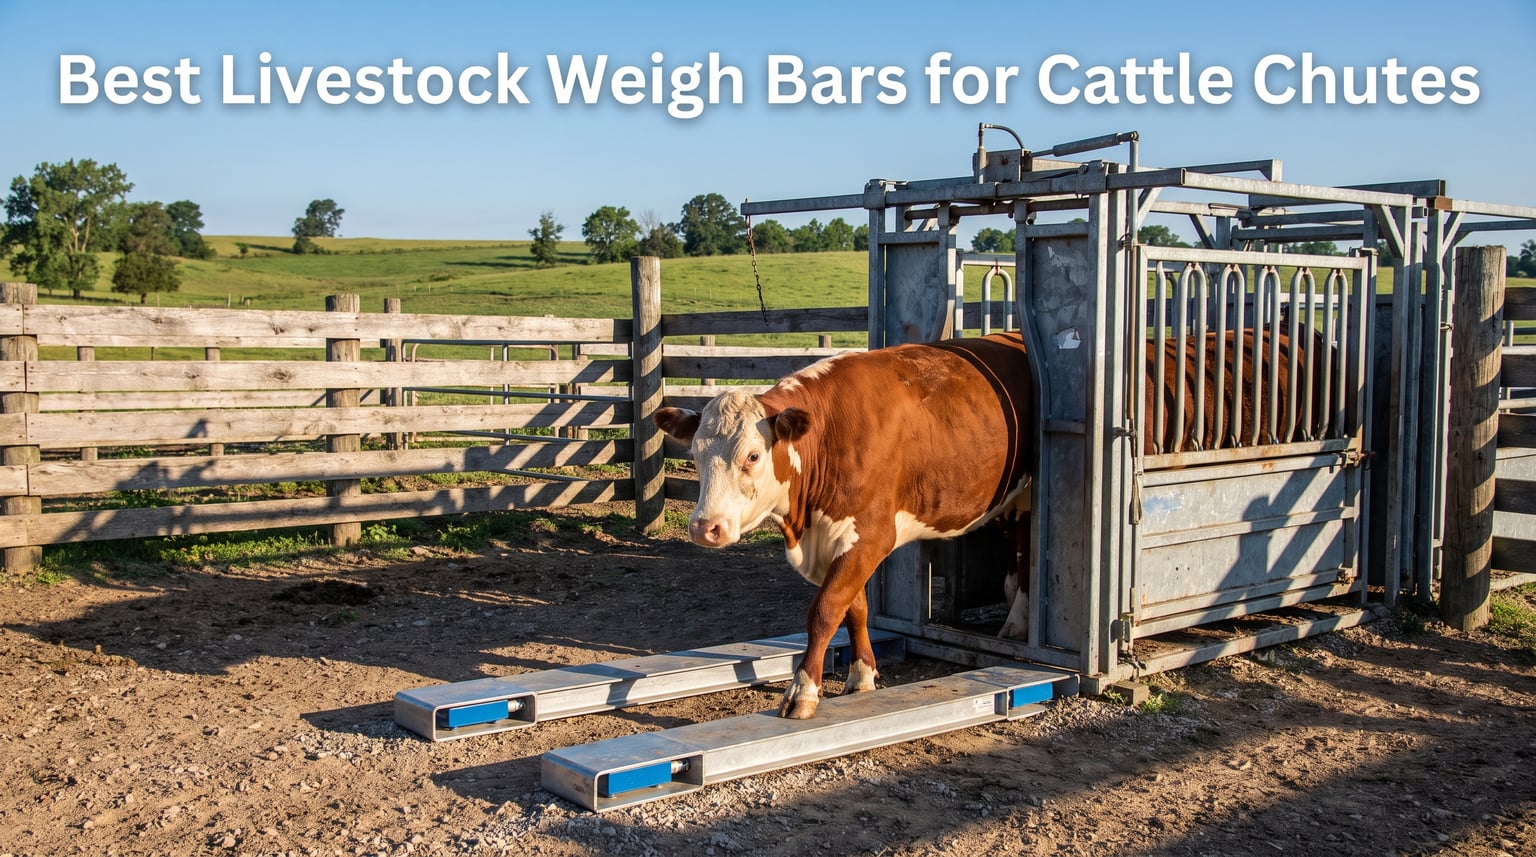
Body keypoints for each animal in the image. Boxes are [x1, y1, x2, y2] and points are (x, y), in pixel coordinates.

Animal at [653, 332, 1034, 719]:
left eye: (753, 456)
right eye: (695, 454)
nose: (704, 527)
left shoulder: (870, 536)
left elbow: (825, 609)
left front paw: (803, 690)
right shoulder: (836, 542)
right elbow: (855, 608)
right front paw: (863, 675)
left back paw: (1018, 622)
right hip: (1008, 499)